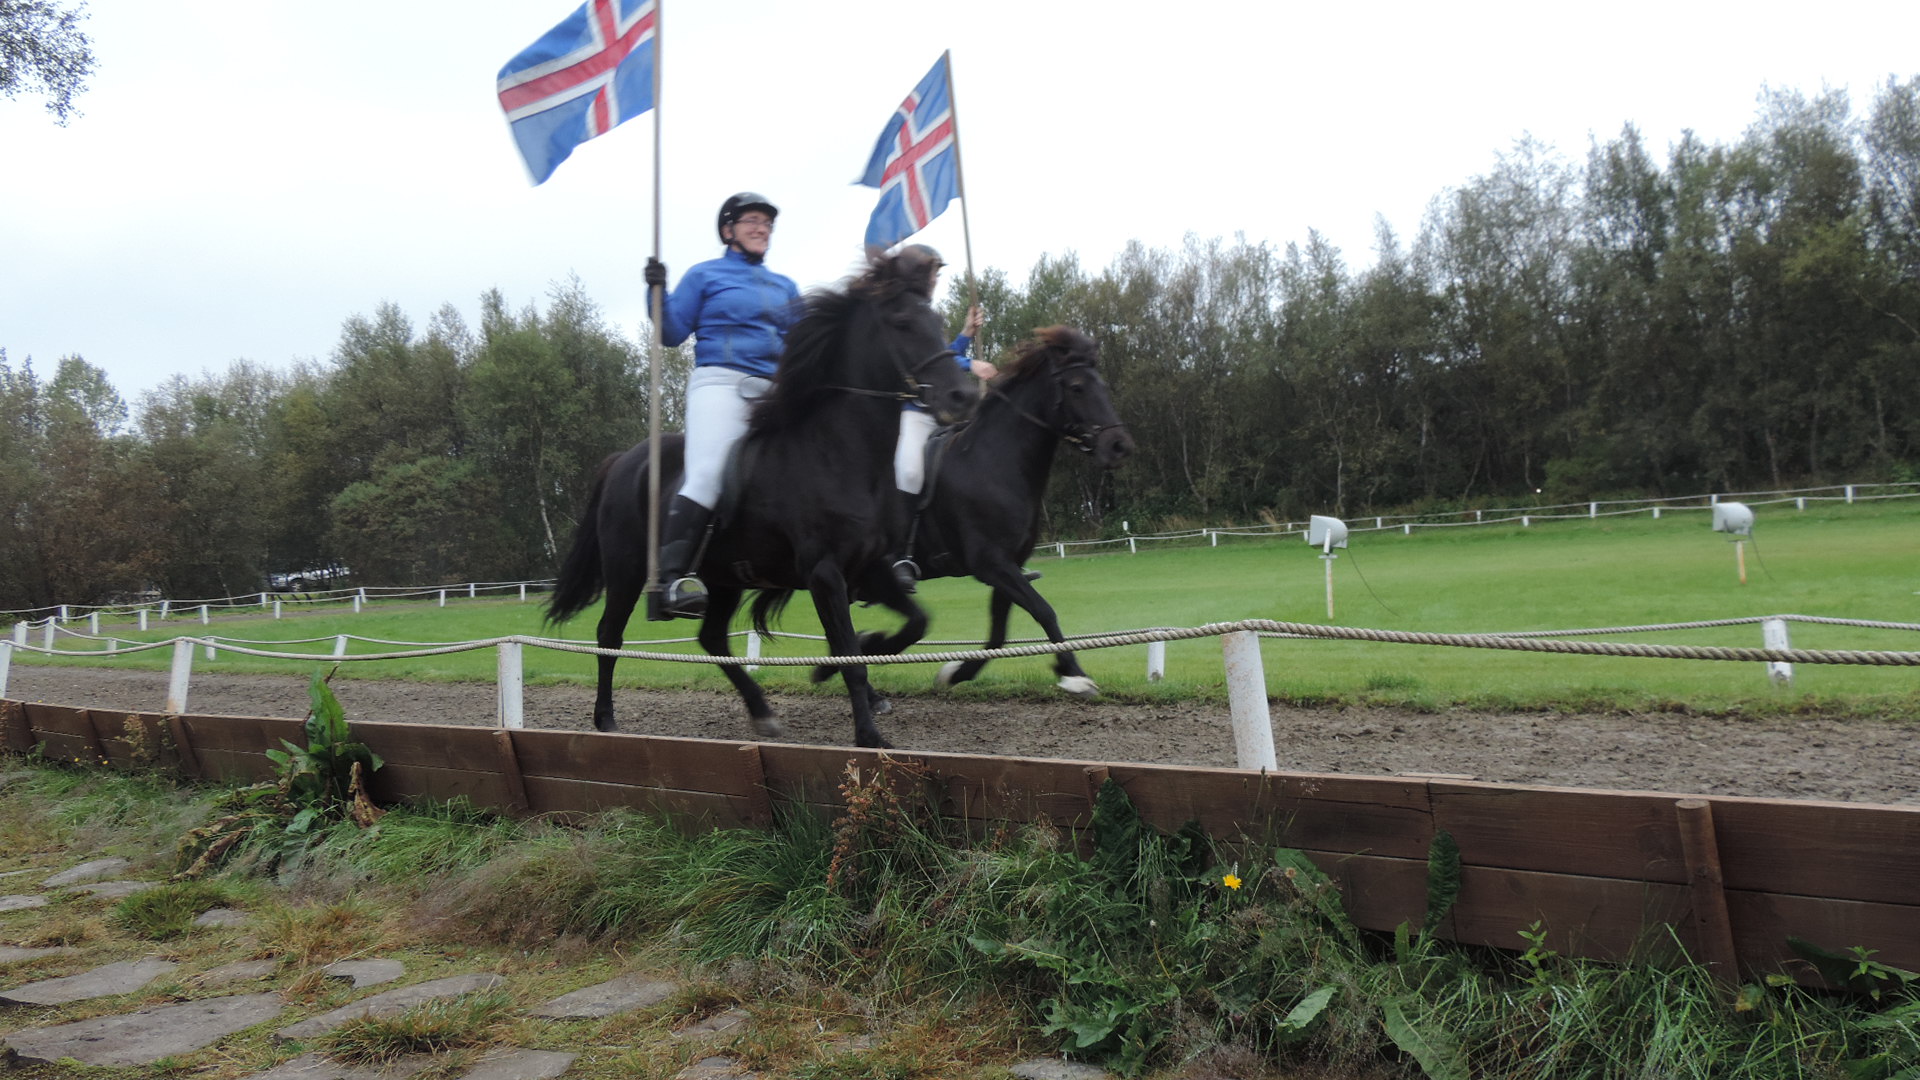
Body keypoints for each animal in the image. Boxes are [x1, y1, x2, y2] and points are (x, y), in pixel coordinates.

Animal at [552, 249, 975, 745]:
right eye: (903, 322)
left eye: (938, 320)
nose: (963, 394)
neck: (838, 451)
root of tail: (625, 459)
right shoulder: (825, 573)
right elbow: (849, 656)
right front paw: (868, 734)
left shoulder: (872, 567)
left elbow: (912, 624)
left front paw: (864, 654)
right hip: (627, 571)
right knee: (609, 636)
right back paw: (606, 719)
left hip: (724, 579)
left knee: (712, 639)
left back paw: (761, 711)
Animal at [817, 326, 1128, 687]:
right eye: (1077, 387)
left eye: (1101, 385)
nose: (1119, 446)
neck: (992, 462)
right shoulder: (991, 563)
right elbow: (1043, 611)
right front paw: (1074, 674)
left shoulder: (1008, 564)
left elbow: (999, 632)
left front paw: (957, 672)